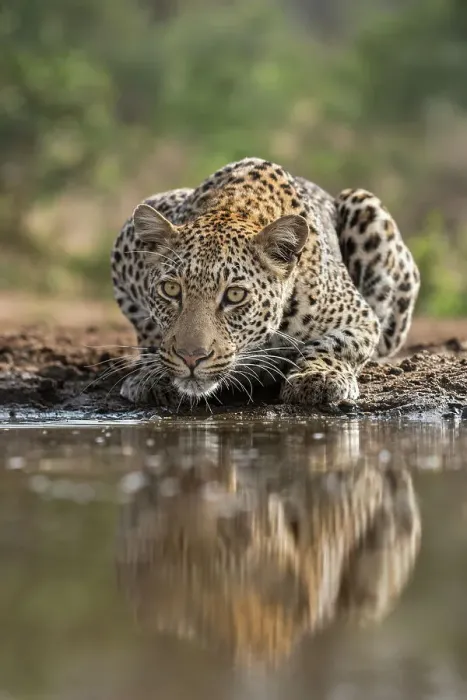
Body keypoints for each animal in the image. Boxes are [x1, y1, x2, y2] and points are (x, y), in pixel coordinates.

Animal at [111, 157, 420, 407]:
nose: (191, 358)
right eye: (171, 289)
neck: (235, 207)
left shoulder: (360, 317)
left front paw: (317, 376)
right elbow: (149, 329)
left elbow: (337, 344)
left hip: (365, 205)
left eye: (235, 295)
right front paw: (154, 375)